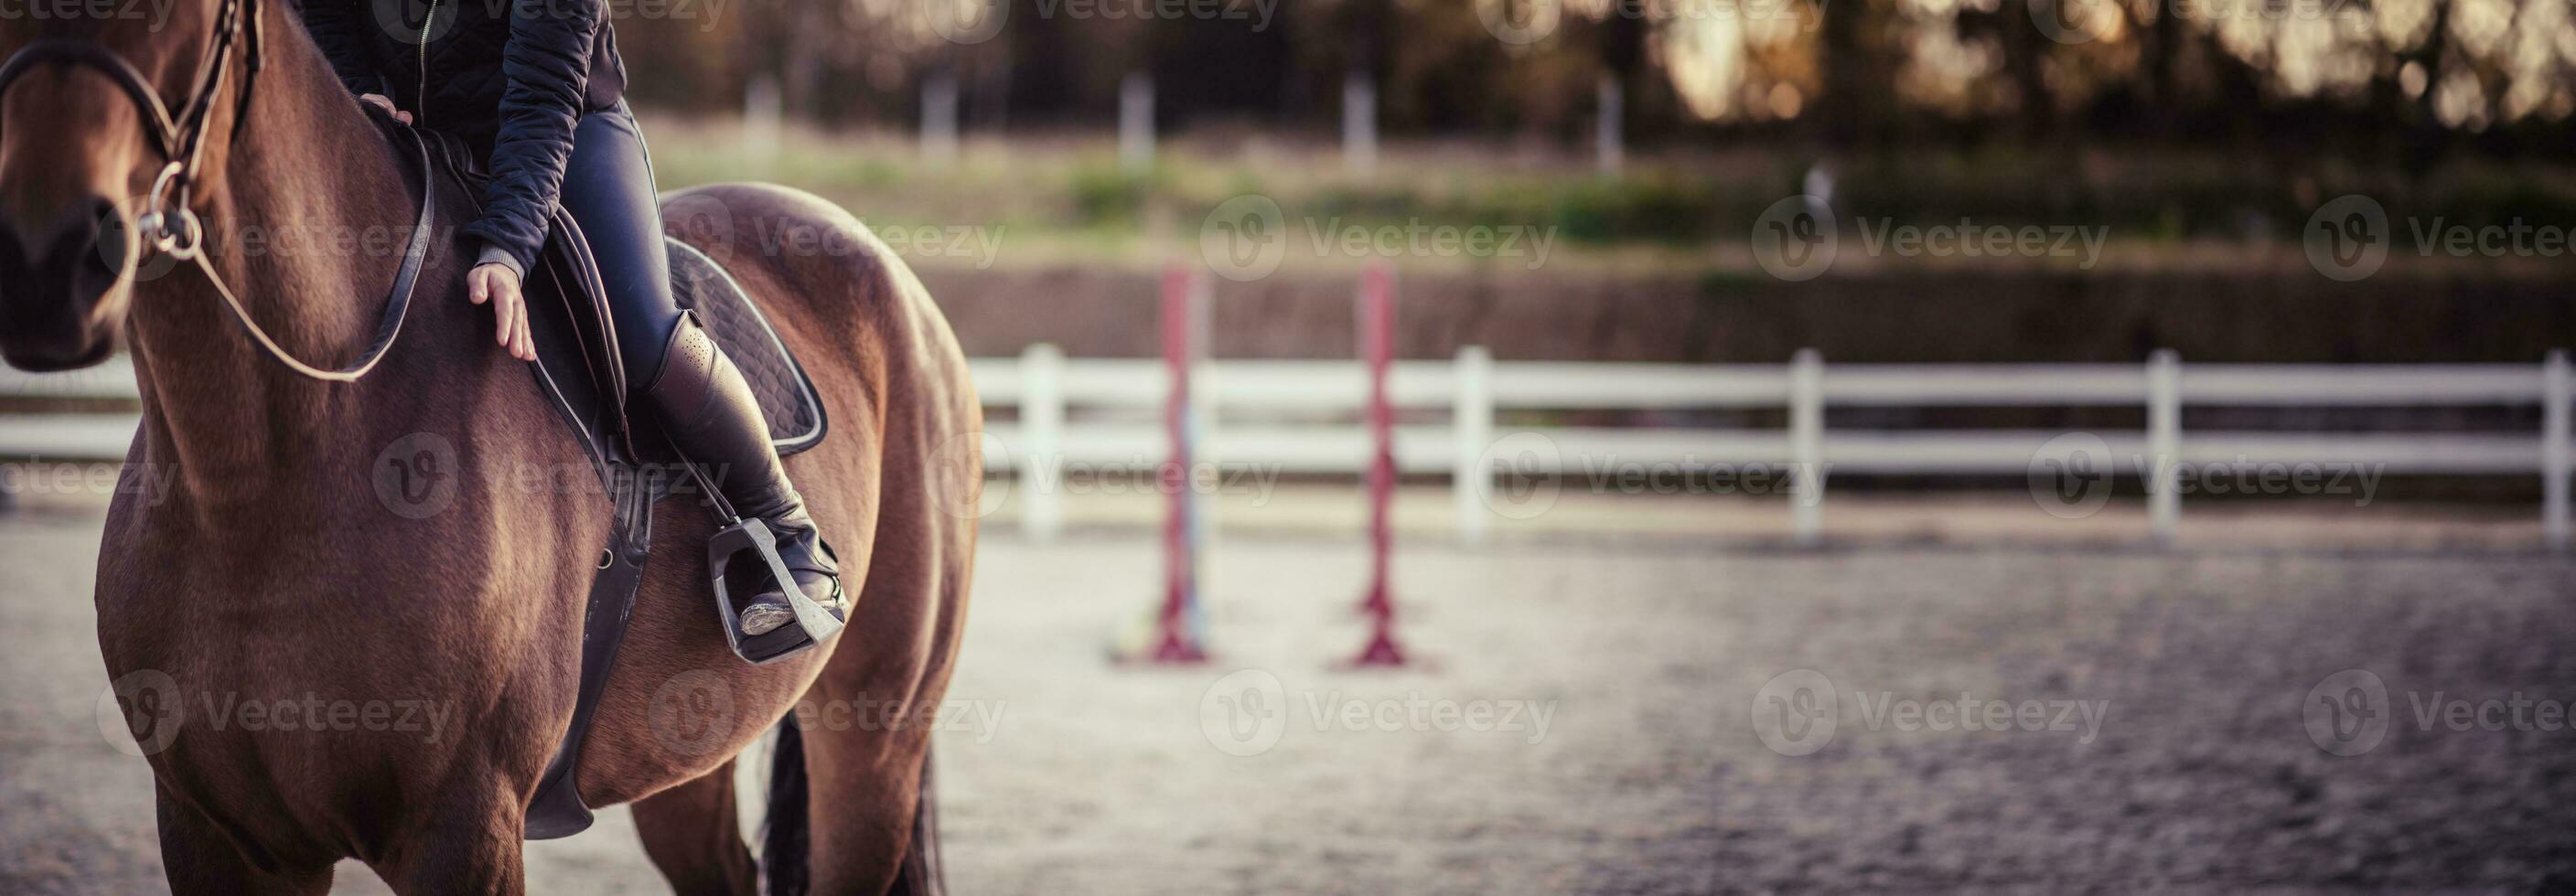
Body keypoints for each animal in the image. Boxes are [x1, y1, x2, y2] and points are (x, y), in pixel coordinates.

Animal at [0, 1, 979, 896]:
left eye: (179, 15)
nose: (44, 266)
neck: (262, 473)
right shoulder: (217, 834)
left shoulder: (464, 826)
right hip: (686, 742)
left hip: (874, 738)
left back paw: (797, 570)